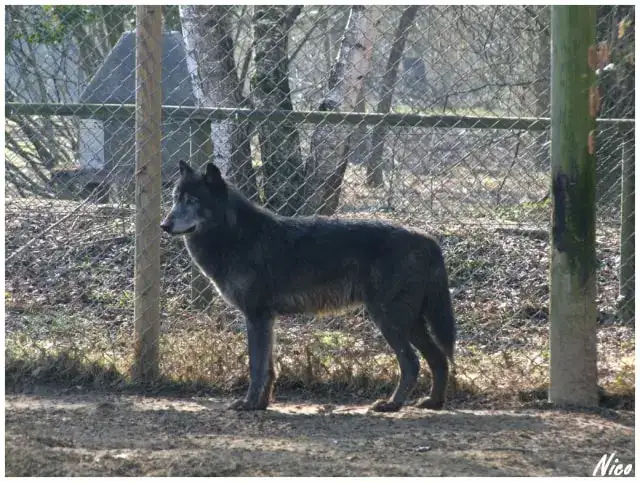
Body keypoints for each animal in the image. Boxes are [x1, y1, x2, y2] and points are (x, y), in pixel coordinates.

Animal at [162, 160, 458, 412]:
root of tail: (428, 239)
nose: (165, 224)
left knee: (412, 362)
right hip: (411, 322)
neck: (236, 236)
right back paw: (433, 403)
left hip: (389, 320)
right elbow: (268, 368)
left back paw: (392, 405)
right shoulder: (267, 320)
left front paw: (248, 404)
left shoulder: (256, 317)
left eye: (193, 200)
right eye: (176, 198)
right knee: (438, 358)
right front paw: (261, 405)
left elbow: (256, 366)